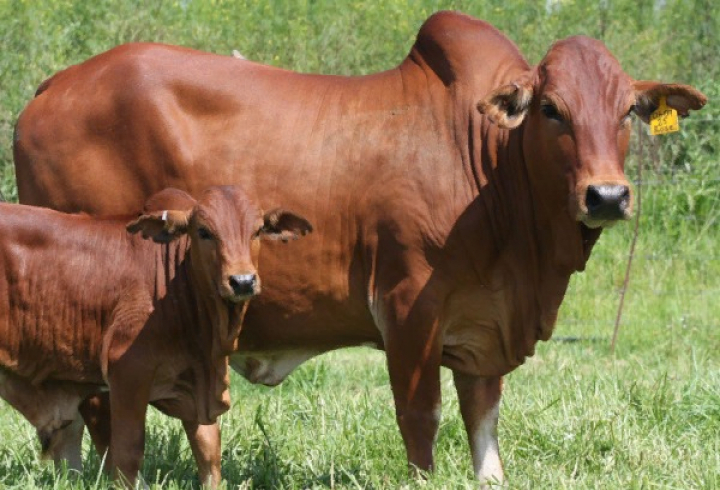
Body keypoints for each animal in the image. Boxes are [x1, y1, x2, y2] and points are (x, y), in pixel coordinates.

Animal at [0, 186, 312, 486]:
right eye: (204, 232)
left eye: (257, 231)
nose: (243, 282)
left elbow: (208, 450)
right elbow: (127, 455)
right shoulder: (127, 372)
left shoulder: (197, 381)